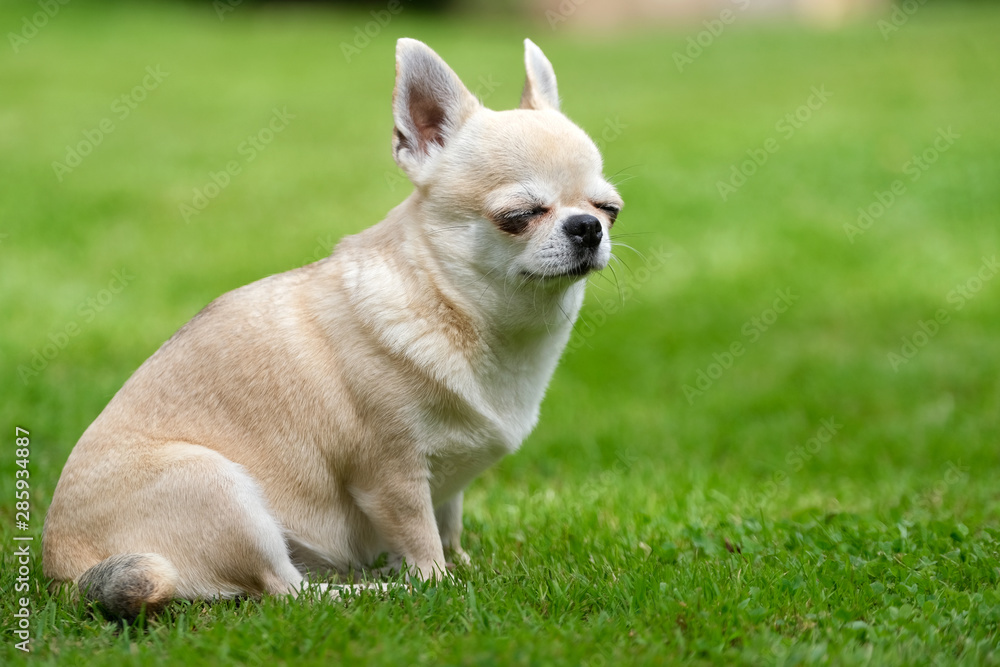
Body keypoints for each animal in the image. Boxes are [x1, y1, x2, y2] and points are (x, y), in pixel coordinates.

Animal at [47, 36, 624, 620]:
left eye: (609, 209)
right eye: (520, 215)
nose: (587, 227)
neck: (460, 310)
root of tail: (64, 576)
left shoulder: (446, 482)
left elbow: (449, 522)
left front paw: (466, 565)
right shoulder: (392, 477)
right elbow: (423, 543)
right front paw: (440, 582)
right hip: (221, 488)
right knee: (285, 590)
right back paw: (375, 589)